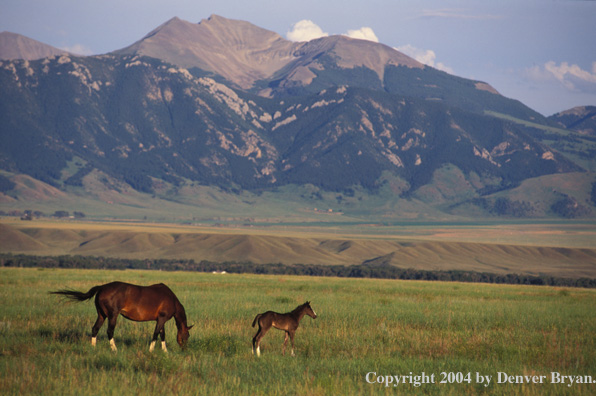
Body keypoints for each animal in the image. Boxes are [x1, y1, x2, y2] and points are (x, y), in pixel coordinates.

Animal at [51, 284, 192, 352]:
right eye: (187, 336)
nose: (184, 349)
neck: (171, 299)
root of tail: (102, 287)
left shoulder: (159, 320)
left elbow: (162, 335)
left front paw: (165, 351)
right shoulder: (162, 319)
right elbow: (156, 334)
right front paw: (151, 350)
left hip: (102, 315)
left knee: (95, 329)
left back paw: (93, 347)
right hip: (112, 315)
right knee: (109, 331)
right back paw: (114, 349)